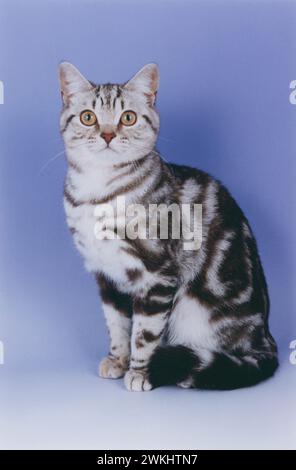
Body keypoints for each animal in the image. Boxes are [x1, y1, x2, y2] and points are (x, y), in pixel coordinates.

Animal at [59, 63, 278, 392]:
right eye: (88, 117)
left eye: (128, 117)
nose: (108, 134)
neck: (98, 193)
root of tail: (266, 338)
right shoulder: (106, 275)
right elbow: (117, 324)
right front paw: (117, 360)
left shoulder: (158, 274)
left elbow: (144, 333)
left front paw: (139, 372)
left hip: (195, 312)